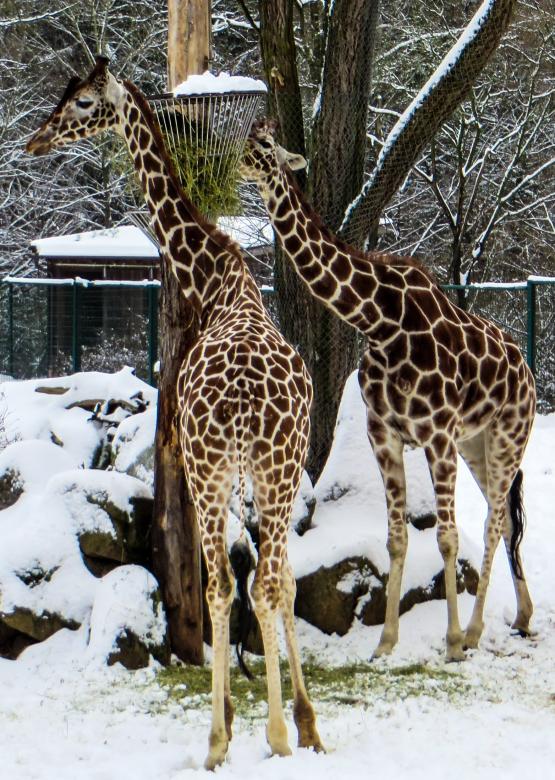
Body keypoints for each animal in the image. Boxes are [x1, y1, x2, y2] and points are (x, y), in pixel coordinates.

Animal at [27, 59, 323, 768]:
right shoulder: (259, 474)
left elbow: (251, 586)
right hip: (259, 472)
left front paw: (269, 724)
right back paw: (266, 732)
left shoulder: (213, 465)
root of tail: (244, 400)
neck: (216, 278)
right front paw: (298, 722)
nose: (35, 140)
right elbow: (274, 582)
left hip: (231, 470)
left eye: (83, 103)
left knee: (235, 586)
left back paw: (236, 737)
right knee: (257, 583)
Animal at [239, 120, 536, 662]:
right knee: (503, 518)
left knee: (492, 521)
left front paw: (451, 642)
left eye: (266, 145)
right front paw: (385, 642)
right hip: (477, 444)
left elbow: (446, 537)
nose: (236, 158)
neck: (379, 320)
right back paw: (520, 617)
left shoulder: (437, 434)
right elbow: (397, 539)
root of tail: (525, 370)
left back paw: (475, 631)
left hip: (508, 436)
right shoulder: (386, 434)